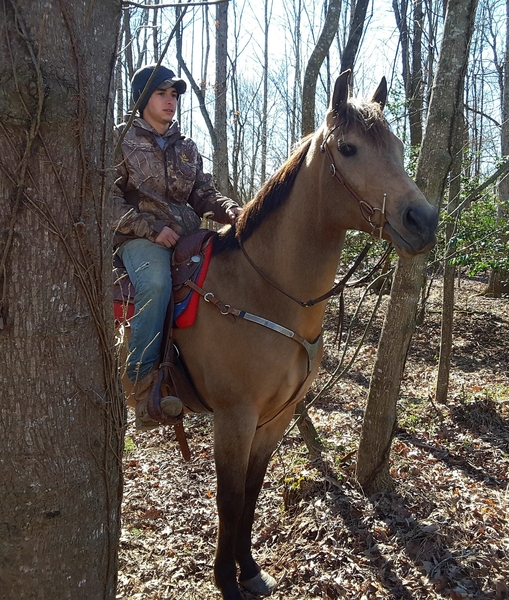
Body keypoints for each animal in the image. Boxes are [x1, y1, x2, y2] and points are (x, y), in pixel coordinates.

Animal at [126, 71, 436, 600]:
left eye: (397, 147)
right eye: (349, 148)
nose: (425, 220)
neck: (264, 291)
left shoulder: (277, 417)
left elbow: (252, 491)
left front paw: (249, 569)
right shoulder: (235, 417)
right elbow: (229, 498)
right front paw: (226, 581)